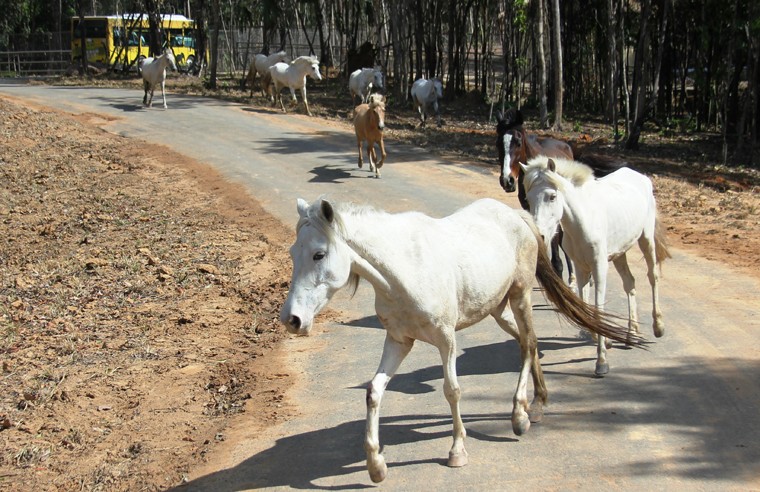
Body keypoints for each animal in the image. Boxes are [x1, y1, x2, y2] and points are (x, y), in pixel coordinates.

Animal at [524, 158, 672, 376]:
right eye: (528, 198)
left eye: (552, 196)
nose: (539, 236)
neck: (584, 219)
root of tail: (640, 176)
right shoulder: (580, 268)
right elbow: (585, 305)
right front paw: (604, 340)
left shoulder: (599, 267)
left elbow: (598, 304)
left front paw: (602, 361)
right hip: (620, 253)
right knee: (630, 283)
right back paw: (631, 335)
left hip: (646, 240)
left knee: (653, 276)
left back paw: (658, 326)